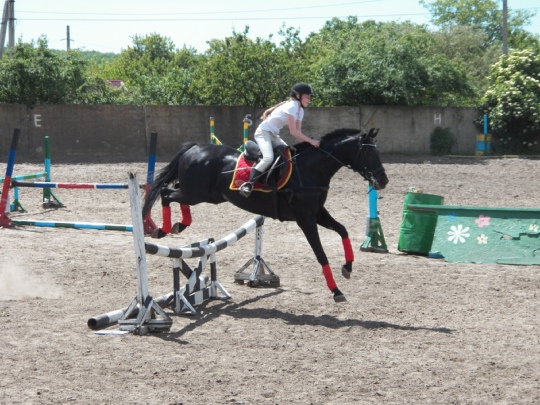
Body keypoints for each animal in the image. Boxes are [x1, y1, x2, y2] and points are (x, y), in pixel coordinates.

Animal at [142, 128, 389, 302]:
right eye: (369, 152)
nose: (383, 180)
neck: (310, 169)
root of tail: (194, 148)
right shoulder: (306, 220)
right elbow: (321, 255)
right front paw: (336, 291)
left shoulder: (318, 213)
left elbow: (343, 230)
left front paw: (348, 268)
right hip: (196, 193)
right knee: (165, 193)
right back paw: (161, 229)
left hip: (206, 195)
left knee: (172, 192)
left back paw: (178, 224)